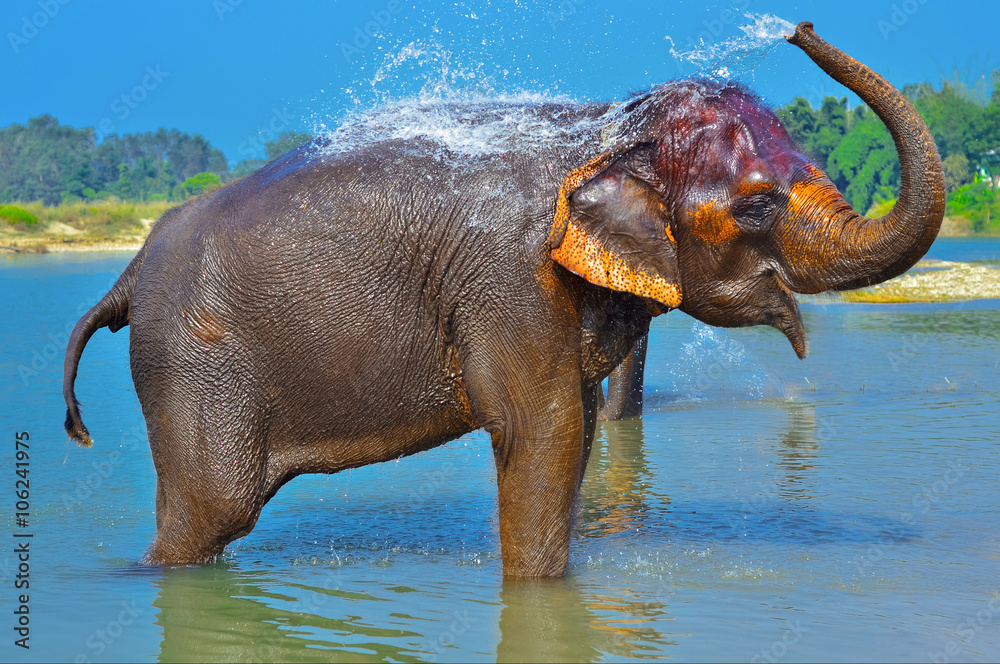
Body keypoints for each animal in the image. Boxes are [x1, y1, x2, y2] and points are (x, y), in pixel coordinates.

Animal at [63, 22, 943, 578]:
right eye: (758, 205)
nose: (794, 26)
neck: (603, 130)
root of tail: (128, 274)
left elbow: (574, 430)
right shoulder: (509, 281)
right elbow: (541, 430)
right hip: (193, 365)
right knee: (214, 509)